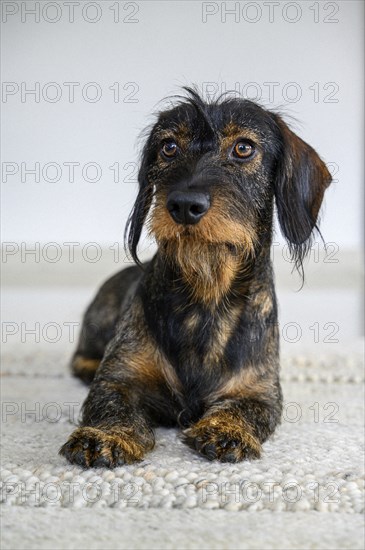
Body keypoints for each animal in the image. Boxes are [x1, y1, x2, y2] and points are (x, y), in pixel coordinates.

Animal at [58, 88, 332, 468]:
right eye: (169, 147)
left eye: (244, 147)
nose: (185, 205)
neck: (205, 296)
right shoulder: (118, 378)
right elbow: (111, 403)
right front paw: (106, 436)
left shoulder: (261, 392)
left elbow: (247, 409)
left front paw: (226, 430)